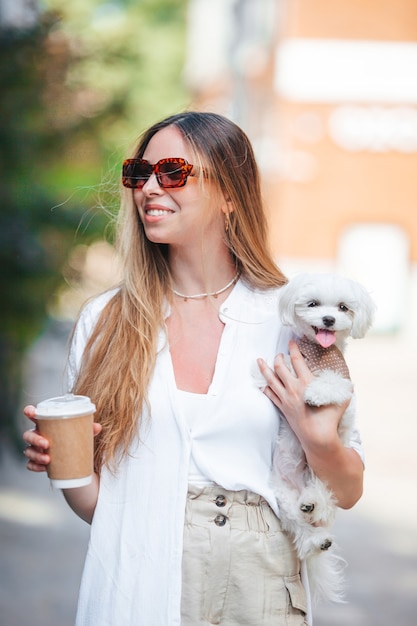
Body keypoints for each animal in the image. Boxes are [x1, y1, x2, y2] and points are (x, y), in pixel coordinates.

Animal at [258, 272, 376, 600]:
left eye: (343, 307)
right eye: (313, 304)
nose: (328, 319)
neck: (318, 355)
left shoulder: (344, 390)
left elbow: (332, 384)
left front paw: (315, 393)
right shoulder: (286, 364)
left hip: (322, 475)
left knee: (322, 495)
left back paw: (313, 505)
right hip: (282, 497)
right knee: (299, 524)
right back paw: (313, 536)